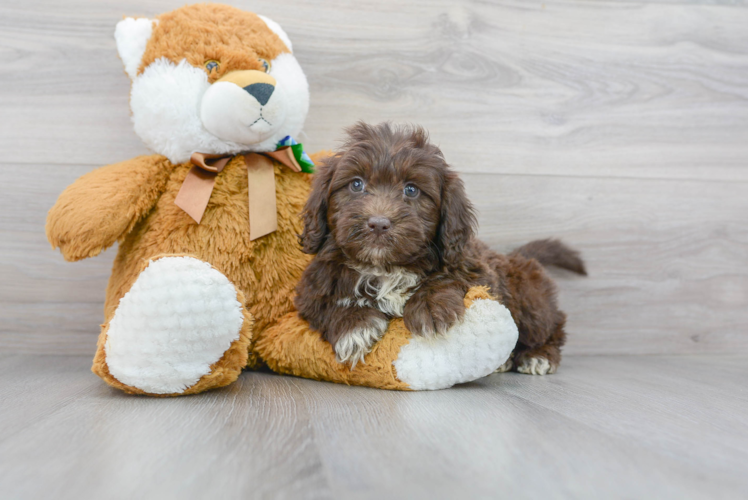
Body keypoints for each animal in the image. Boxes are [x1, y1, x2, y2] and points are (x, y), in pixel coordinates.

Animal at [296, 122, 588, 376]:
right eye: (356, 184)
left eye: (411, 190)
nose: (378, 223)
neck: (385, 268)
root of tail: (516, 256)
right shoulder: (312, 288)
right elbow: (325, 305)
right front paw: (354, 327)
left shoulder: (474, 268)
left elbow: (447, 277)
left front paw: (430, 307)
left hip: (529, 299)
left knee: (552, 324)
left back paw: (538, 356)